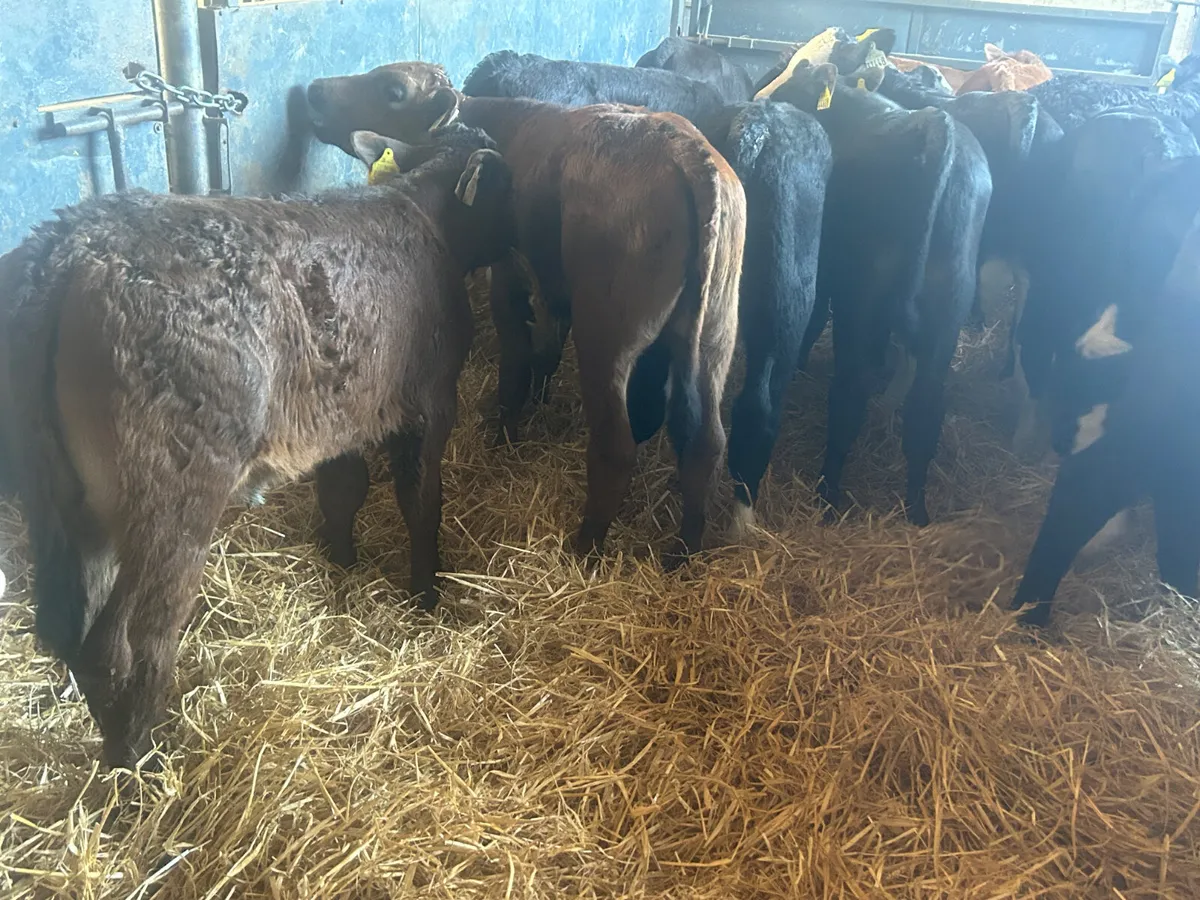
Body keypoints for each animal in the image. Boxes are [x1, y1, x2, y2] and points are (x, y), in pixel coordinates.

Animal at [1, 123, 516, 768]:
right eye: (506, 183)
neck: (423, 215)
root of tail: (67, 247)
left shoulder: (341, 415)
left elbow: (343, 490)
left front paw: (342, 564)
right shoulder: (431, 402)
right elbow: (422, 501)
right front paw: (427, 594)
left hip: (68, 500)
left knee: (70, 629)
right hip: (172, 499)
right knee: (133, 641)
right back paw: (141, 761)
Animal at [307, 66, 746, 566]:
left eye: (393, 90)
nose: (313, 90)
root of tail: (689, 153)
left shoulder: (508, 276)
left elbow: (516, 358)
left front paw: (504, 437)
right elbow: (544, 352)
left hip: (607, 337)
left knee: (616, 447)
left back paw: (585, 547)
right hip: (715, 336)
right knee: (706, 445)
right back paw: (682, 554)